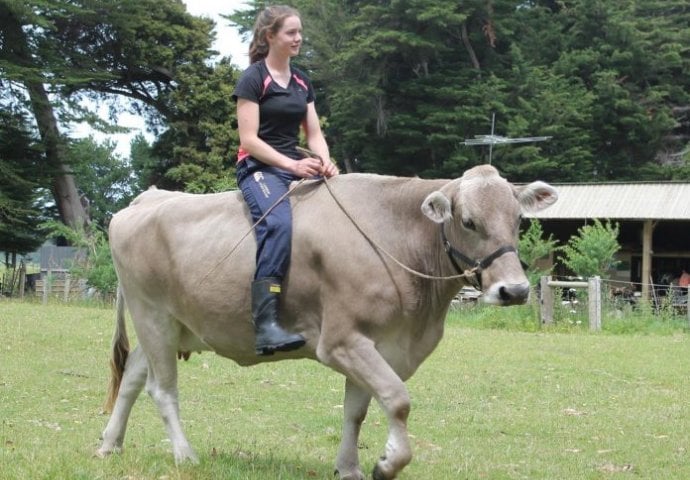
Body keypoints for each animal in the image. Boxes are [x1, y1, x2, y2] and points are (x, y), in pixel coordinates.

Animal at [97, 165, 556, 480]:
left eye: (518, 220)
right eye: (468, 221)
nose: (514, 290)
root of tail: (147, 199)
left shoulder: (377, 343)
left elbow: (357, 412)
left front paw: (349, 468)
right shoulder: (341, 341)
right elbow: (397, 398)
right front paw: (387, 464)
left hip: (172, 324)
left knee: (133, 376)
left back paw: (109, 445)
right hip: (152, 314)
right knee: (161, 389)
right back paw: (184, 455)